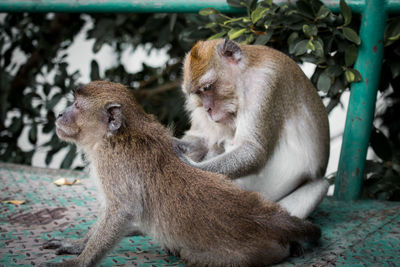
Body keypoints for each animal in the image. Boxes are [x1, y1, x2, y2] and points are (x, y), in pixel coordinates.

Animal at [42, 81, 320, 267]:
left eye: (76, 106)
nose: (60, 113)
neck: (115, 136)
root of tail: (267, 218)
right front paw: (77, 245)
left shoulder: (112, 164)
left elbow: (122, 211)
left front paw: (80, 261)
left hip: (252, 253)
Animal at [176, 38, 332, 220]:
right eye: (198, 93)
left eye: (207, 87)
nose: (207, 108)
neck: (245, 72)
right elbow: (204, 139)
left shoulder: (265, 84)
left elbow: (253, 150)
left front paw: (189, 165)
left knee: (319, 187)